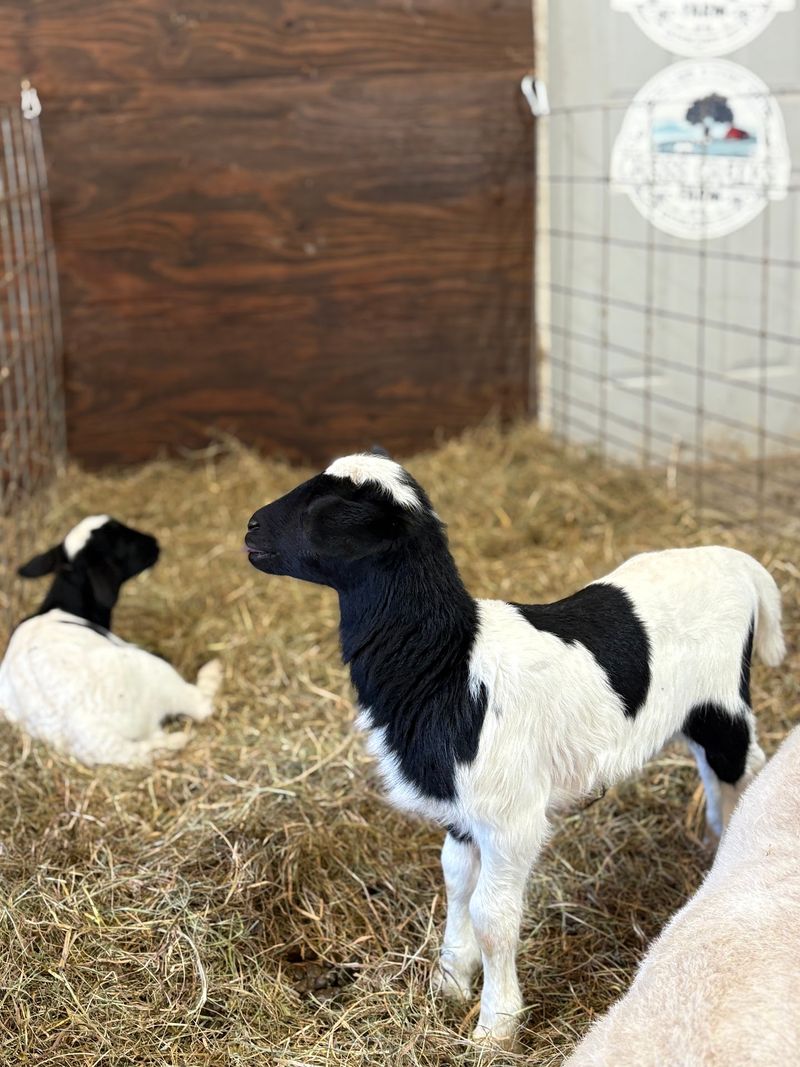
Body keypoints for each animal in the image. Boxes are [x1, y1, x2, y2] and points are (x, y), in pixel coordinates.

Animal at [0, 515, 221, 766]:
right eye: (124, 541)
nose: (154, 542)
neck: (64, 606)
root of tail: (103, 741)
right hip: (155, 673)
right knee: (201, 705)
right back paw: (212, 672)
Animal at [243, 450, 785, 1047]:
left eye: (330, 506)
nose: (250, 527)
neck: (450, 664)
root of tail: (736, 560)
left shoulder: (511, 819)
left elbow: (492, 917)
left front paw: (495, 1025)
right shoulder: (461, 810)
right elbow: (456, 882)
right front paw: (450, 981)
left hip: (723, 705)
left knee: (743, 771)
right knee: (716, 777)